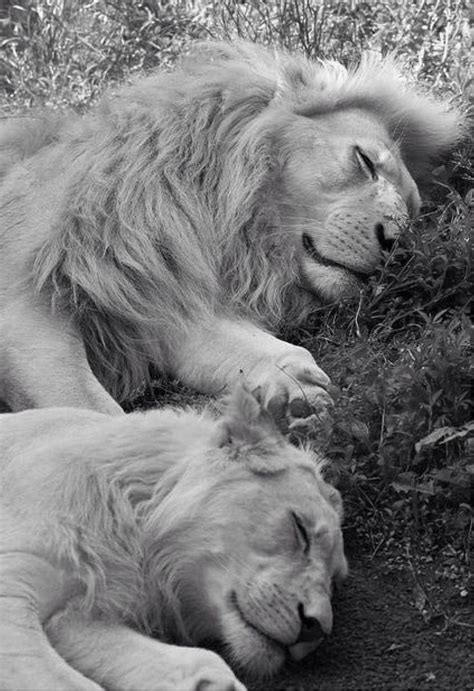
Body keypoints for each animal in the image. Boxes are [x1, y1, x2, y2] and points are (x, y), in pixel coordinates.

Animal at [0, 42, 462, 422]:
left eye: (413, 217)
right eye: (365, 161)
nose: (396, 247)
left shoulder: (156, 294)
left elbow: (245, 347)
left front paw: (291, 387)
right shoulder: (25, 299)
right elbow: (86, 404)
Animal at [0, 386, 348, 688]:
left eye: (334, 581)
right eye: (300, 529)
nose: (316, 629)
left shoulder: (76, 616)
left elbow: (200, 661)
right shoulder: (12, 593)